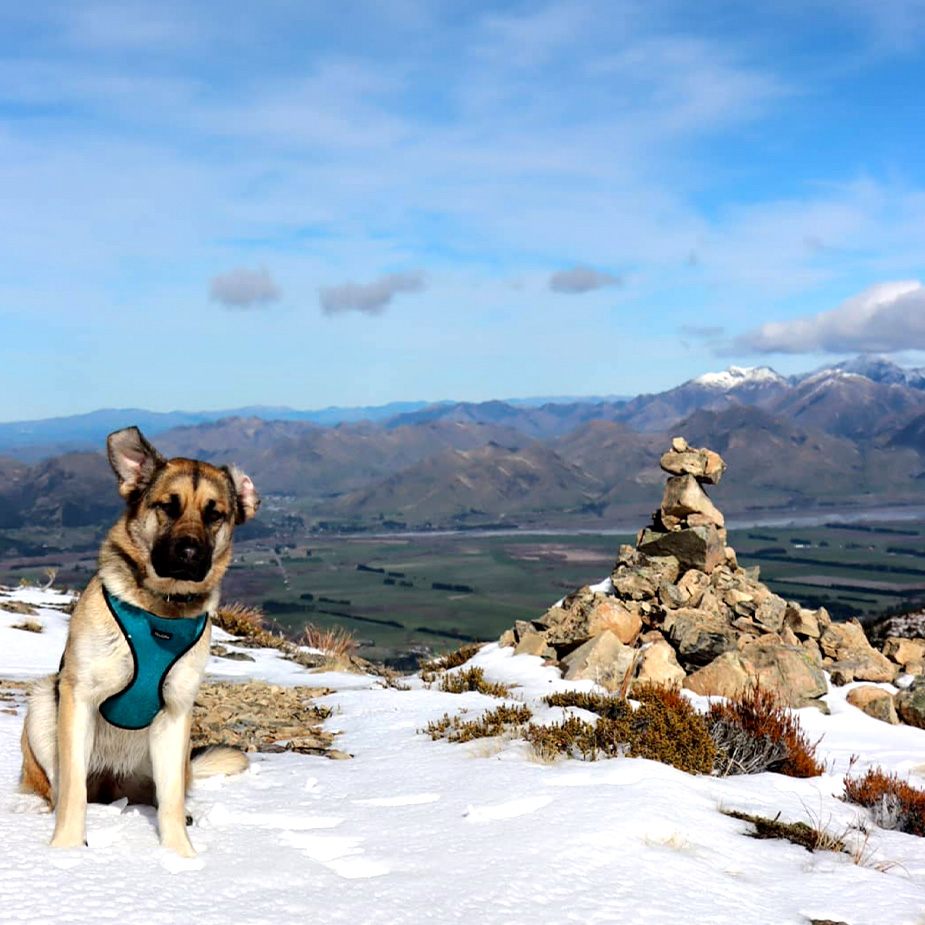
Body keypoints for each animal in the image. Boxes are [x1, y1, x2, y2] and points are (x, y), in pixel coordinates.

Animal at [21, 422, 260, 856]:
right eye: (168, 506)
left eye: (215, 514)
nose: (189, 553)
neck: (160, 610)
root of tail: (113, 786)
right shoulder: (79, 697)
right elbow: (74, 791)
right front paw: (66, 852)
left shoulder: (176, 711)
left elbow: (171, 799)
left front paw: (180, 857)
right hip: (44, 704)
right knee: (62, 787)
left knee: (165, 793)